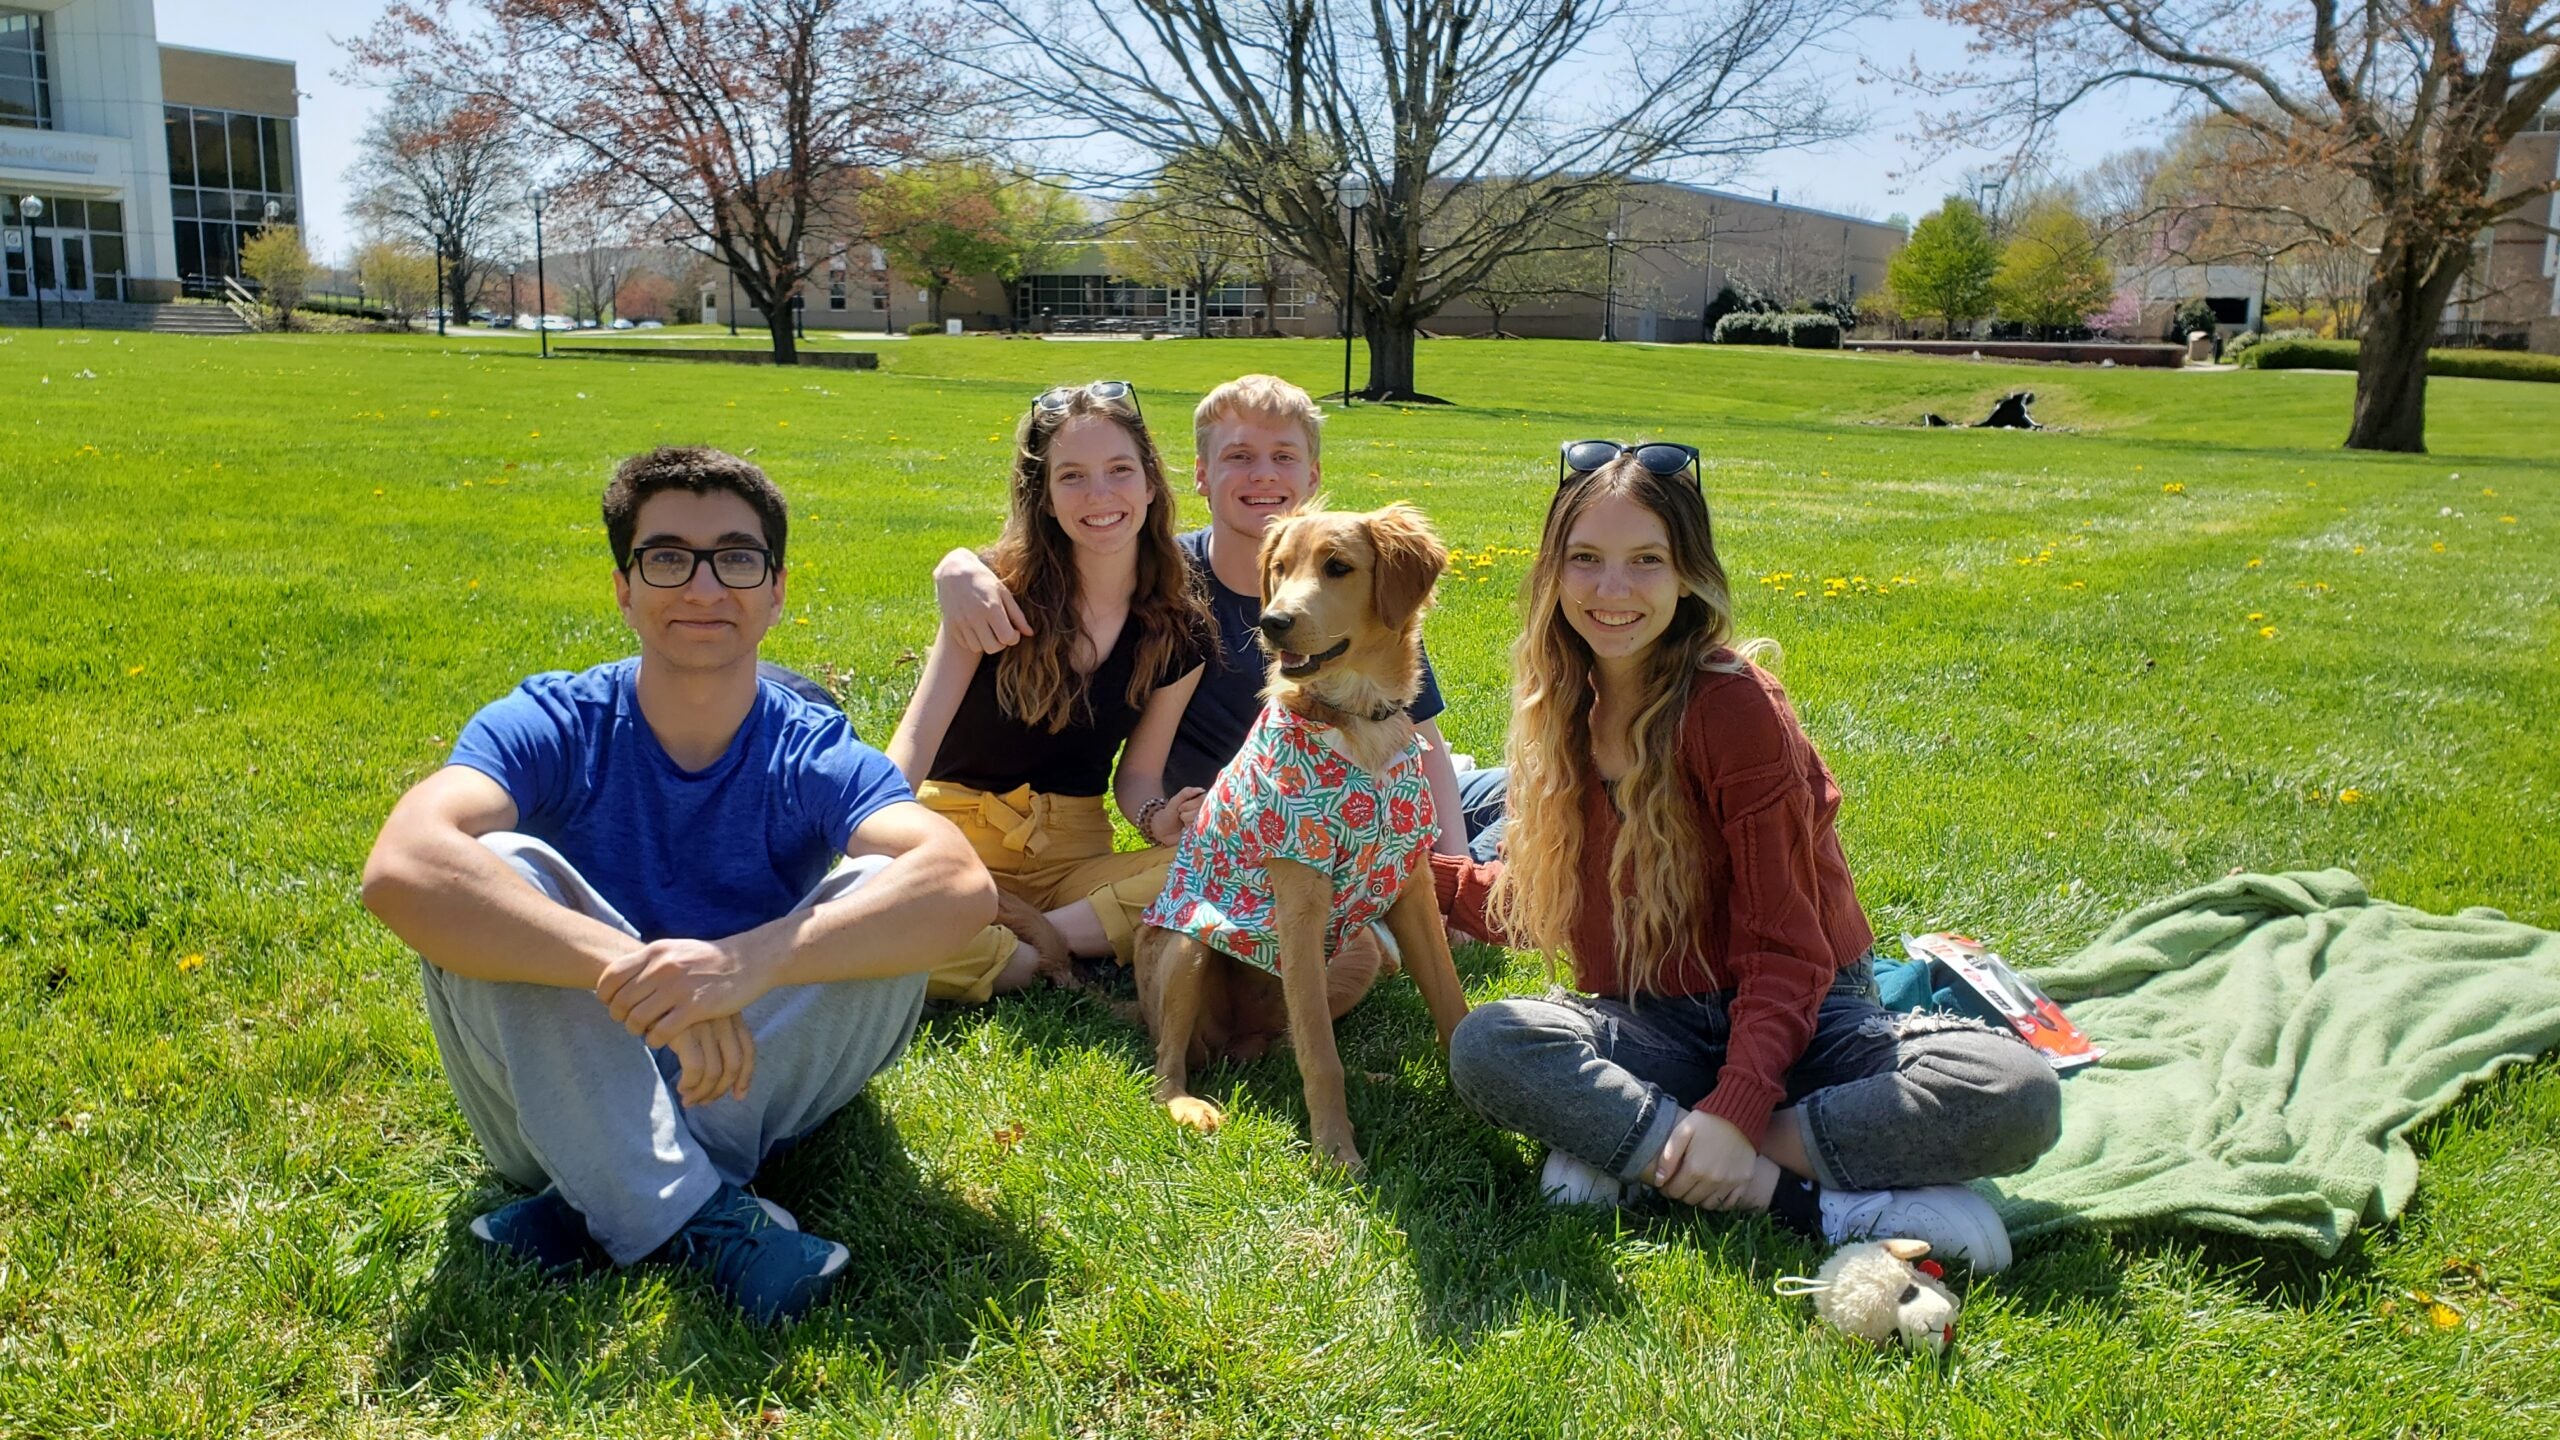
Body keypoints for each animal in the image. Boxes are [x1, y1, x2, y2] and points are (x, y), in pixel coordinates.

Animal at [1136, 502, 1474, 1168]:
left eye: (1338, 567)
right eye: (1279, 568)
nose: (1272, 623)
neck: (1355, 720)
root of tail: (1238, 1044)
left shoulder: (1412, 890)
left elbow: (1451, 1002)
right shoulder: (1300, 906)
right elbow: (1321, 1055)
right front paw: (1336, 1153)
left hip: (1356, 956)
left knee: (1285, 1043)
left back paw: (1375, 1077)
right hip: (1190, 945)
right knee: (1168, 1063)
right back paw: (1188, 1105)